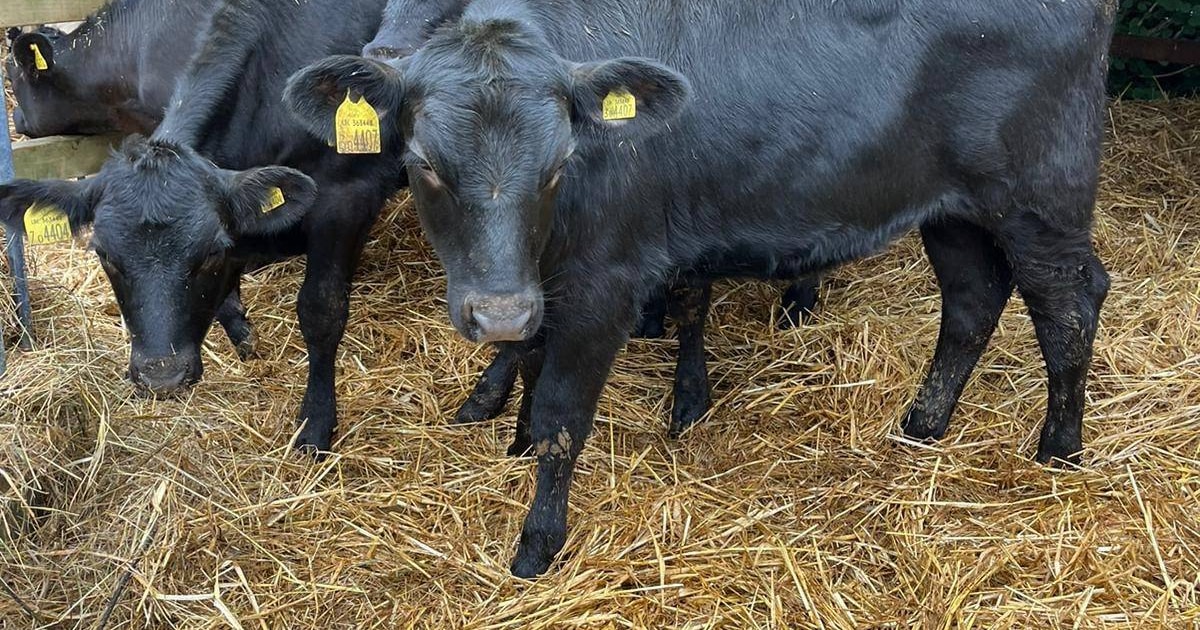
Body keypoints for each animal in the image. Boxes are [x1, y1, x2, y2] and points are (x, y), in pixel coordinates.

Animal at [0, 0, 403, 454]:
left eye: (13, 76)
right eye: (105, 255)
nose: (162, 376)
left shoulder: (347, 196)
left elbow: (321, 311)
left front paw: (315, 426)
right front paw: (243, 334)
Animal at [290, 0, 1115, 576]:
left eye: (559, 162)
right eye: (424, 163)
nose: (495, 311)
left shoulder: (605, 283)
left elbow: (563, 414)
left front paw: (537, 542)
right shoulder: (541, 283)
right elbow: (531, 357)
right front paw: (513, 436)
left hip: (1043, 199)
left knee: (1070, 308)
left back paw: (1059, 452)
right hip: (955, 210)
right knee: (973, 299)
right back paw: (924, 423)